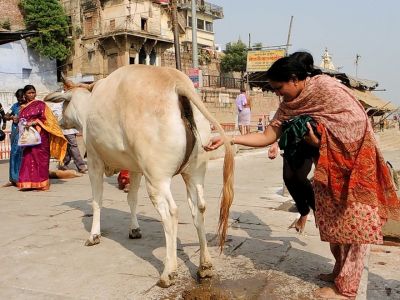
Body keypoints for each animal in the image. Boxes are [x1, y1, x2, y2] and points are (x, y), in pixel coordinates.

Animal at [45, 65, 234, 286]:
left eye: (64, 103)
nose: (59, 121)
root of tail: (176, 82)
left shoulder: (93, 161)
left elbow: (97, 201)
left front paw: (94, 235)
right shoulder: (135, 168)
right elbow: (132, 198)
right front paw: (134, 229)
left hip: (157, 177)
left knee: (171, 212)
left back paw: (168, 272)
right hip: (194, 173)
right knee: (199, 208)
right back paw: (205, 266)